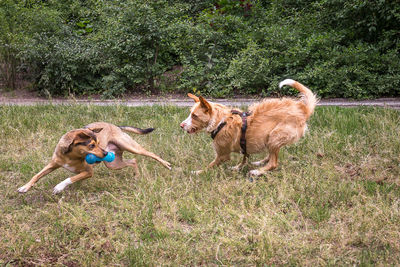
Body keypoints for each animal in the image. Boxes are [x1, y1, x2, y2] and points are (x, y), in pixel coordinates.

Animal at [17, 122, 171, 195]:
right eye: (91, 145)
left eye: (97, 142)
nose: (105, 153)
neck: (70, 156)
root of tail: (116, 126)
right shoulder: (53, 164)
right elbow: (37, 175)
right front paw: (25, 187)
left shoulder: (88, 172)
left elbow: (69, 178)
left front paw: (59, 187)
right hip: (113, 164)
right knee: (133, 161)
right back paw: (136, 176)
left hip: (131, 147)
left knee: (151, 154)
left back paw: (166, 165)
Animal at [180, 78, 318, 177]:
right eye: (190, 113)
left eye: (195, 116)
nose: (181, 125)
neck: (220, 121)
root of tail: (302, 110)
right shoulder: (243, 145)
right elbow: (244, 158)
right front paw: (237, 167)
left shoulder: (222, 155)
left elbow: (210, 166)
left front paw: (198, 172)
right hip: (270, 139)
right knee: (271, 156)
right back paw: (259, 163)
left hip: (275, 136)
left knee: (274, 163)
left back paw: (258, 171)